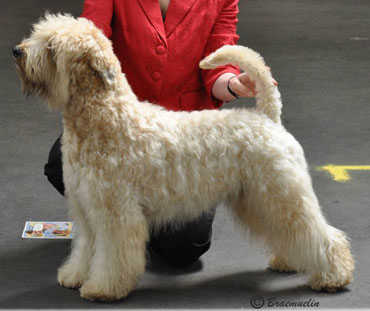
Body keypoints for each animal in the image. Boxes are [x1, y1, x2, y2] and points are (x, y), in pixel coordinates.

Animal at [14, 14, 354, 302]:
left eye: (52, 47)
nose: (17, 51)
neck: (106, 120)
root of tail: (267, 116)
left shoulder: (115, 213)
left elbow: (111, 255)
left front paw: (102, 288)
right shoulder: (85, 209)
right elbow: (85, 249)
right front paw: (74, 276)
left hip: (282, 194)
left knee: (319, 235)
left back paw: (334, 275)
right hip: (257, 199)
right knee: (288, 233)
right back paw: (289, 261)